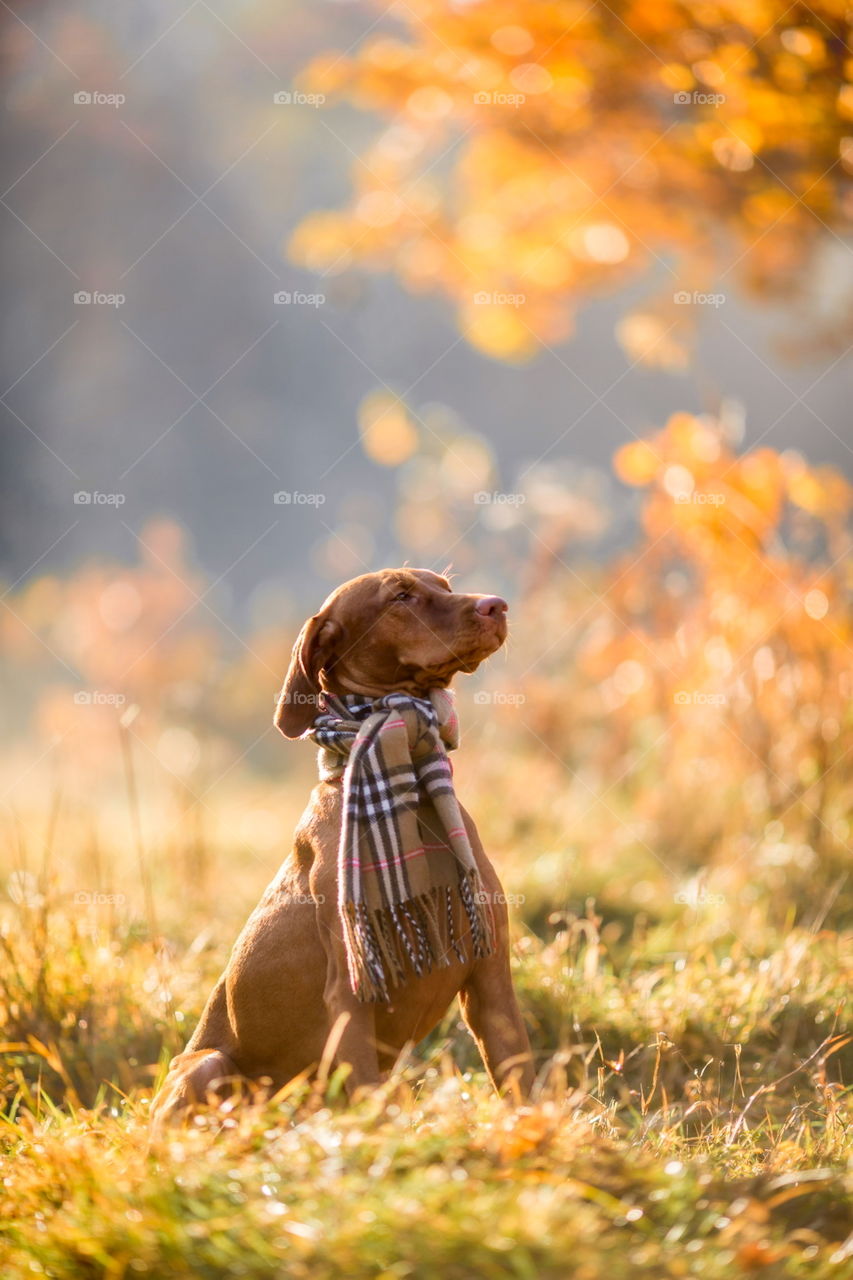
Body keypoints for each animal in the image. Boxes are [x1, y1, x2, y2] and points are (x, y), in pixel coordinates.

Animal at [149, 565, 527, 1126]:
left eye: (444, 585)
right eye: (400, 597)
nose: (496, 605)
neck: (410, 788)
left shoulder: (491, 979)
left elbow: (525, 1085)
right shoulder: (350, 995)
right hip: (207, 1065)